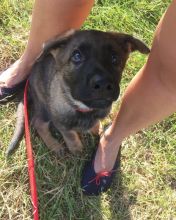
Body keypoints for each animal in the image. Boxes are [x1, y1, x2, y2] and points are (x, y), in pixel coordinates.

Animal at [7, 29, 150, 156]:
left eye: (115, 58)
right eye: (77, 56)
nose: (103, 85)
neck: (84, 109)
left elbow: (95, 123)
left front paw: (96, 129)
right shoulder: (60, 122)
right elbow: (70, 135)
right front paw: (76, 148)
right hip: (44, 106)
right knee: (38, 122)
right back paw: (54, 145)